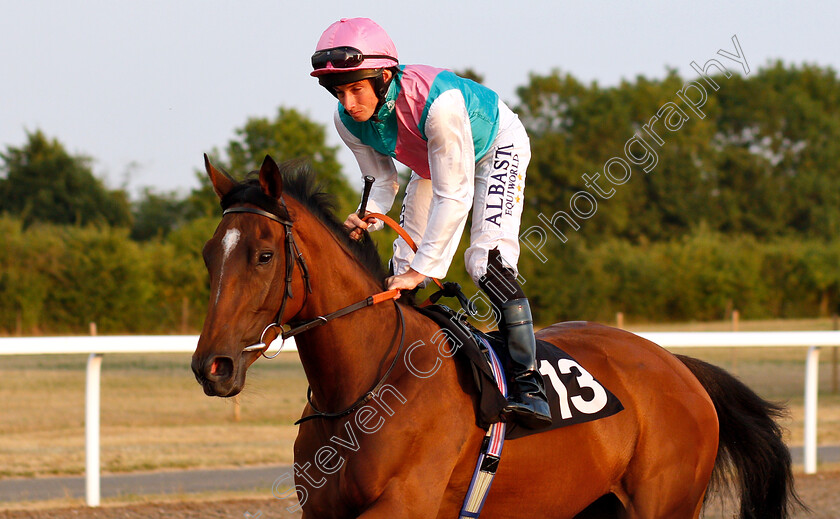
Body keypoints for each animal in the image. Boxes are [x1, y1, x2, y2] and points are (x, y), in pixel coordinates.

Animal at [192, 155, 800, 519]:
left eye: (263, 255)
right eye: (208, 254)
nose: (211, 366)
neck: (365, 387)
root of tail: (678, 365)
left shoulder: (402, 505)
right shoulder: (322, 510)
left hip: (664, 504)